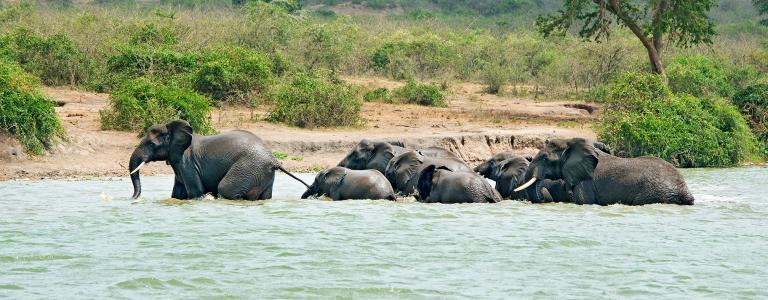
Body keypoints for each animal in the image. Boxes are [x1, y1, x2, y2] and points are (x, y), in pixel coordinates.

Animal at [127, 119, 308, 199]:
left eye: (151, 144)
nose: (132, 198)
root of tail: (273, 159)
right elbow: (177, 193)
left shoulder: (187, 163)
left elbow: (195, 192)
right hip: (262, 174)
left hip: (248, 167)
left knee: (225, 189)